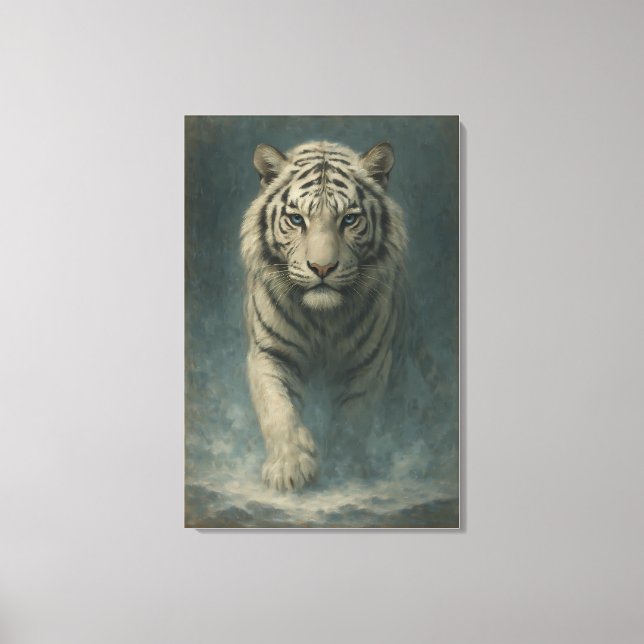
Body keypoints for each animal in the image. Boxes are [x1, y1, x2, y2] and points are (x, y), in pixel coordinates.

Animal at [240, 140, 408, 491]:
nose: (322, 268)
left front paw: (346, 468)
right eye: (296, 219)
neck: (322, 319)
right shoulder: (269, 352)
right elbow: (278, 409)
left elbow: (354, 416)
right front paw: (289, 468)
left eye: (349, 220)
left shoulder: (370, 362)